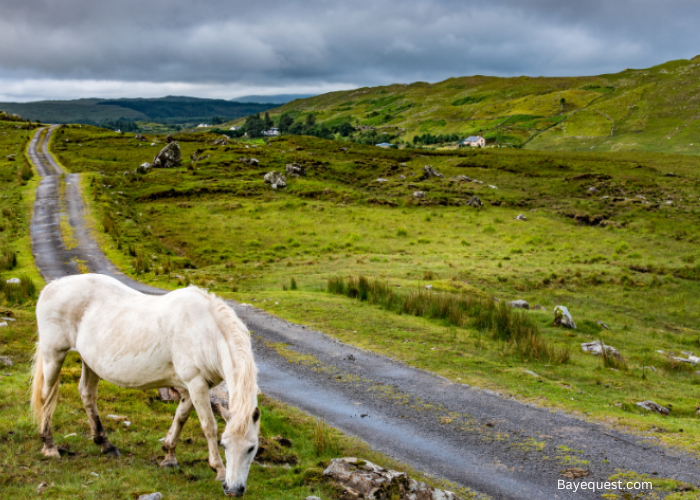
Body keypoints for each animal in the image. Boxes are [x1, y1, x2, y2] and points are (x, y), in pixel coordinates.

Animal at [30, 274, 260, 496]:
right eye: (224, 444)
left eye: (252, 448)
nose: (233, 490)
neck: (206, 331)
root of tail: (51, 287)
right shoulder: (196, 383)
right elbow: (208, 426)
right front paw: (219, 469)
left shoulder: (193, 386)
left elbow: (181, 418)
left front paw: (169, 456)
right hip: (53, 355)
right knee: (46, 397)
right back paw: (49, 446)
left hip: (90, 363)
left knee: (87, 395)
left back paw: (106, 444)